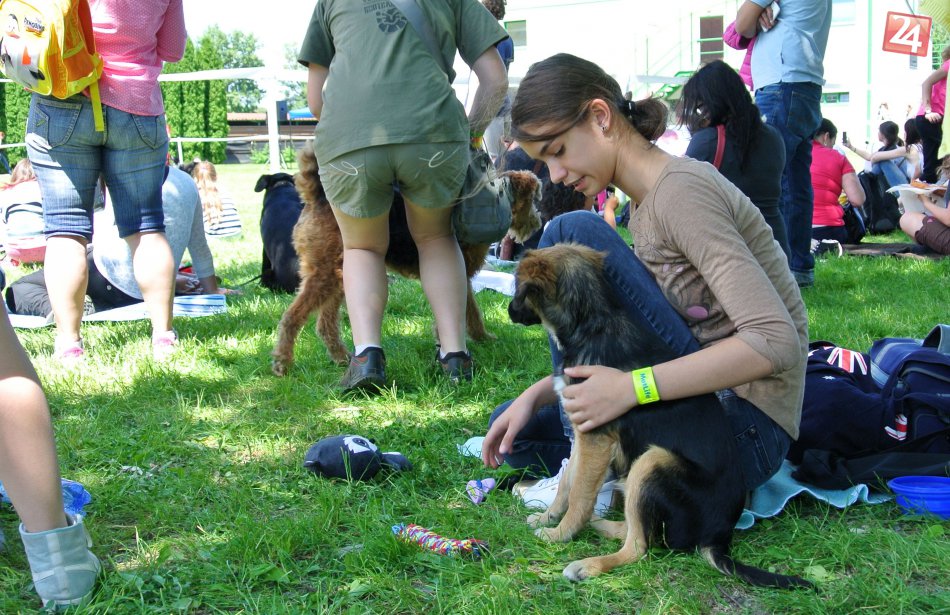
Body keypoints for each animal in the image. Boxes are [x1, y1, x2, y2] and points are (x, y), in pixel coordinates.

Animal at [507, 244, 812, 589]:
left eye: (518, 287)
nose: (508, 311)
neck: (592, 325)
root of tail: (719, 537)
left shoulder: (596, 435)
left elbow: (580, 494)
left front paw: (559, 534)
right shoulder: (583, 434)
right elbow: (567, 484)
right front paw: (548, 518)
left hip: (652, 461)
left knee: (640, 547)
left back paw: (587, 565)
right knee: (638, 530)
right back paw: (601, 525)